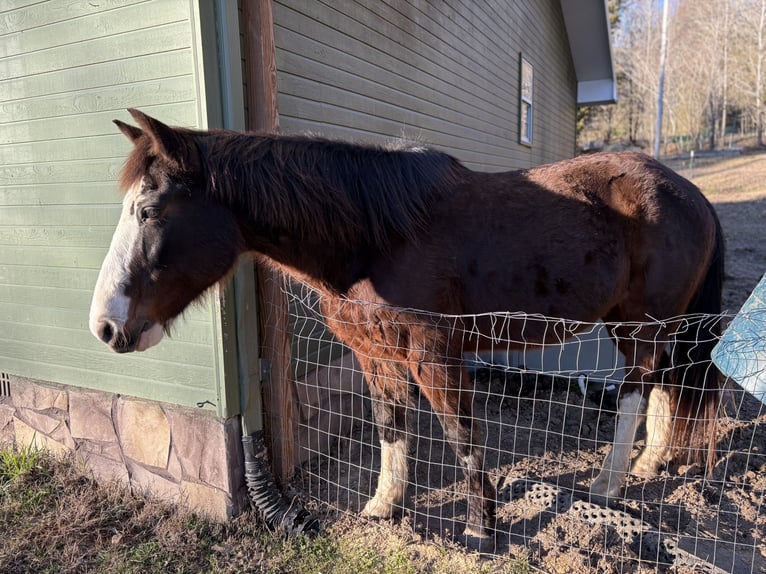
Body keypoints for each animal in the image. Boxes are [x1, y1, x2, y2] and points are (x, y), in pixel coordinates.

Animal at [90, 109, 728, 544]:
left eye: (149, 211)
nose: (105, 326)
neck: (375, 238)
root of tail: (690, 193)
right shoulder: (377, 356)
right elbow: (391, 428)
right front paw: (384, 507)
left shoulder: (435, 356)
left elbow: (464, 439)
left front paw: (479, 529)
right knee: (668, 386)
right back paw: (649, 464)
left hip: (641, 326)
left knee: (636, 392)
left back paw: (609, 486)